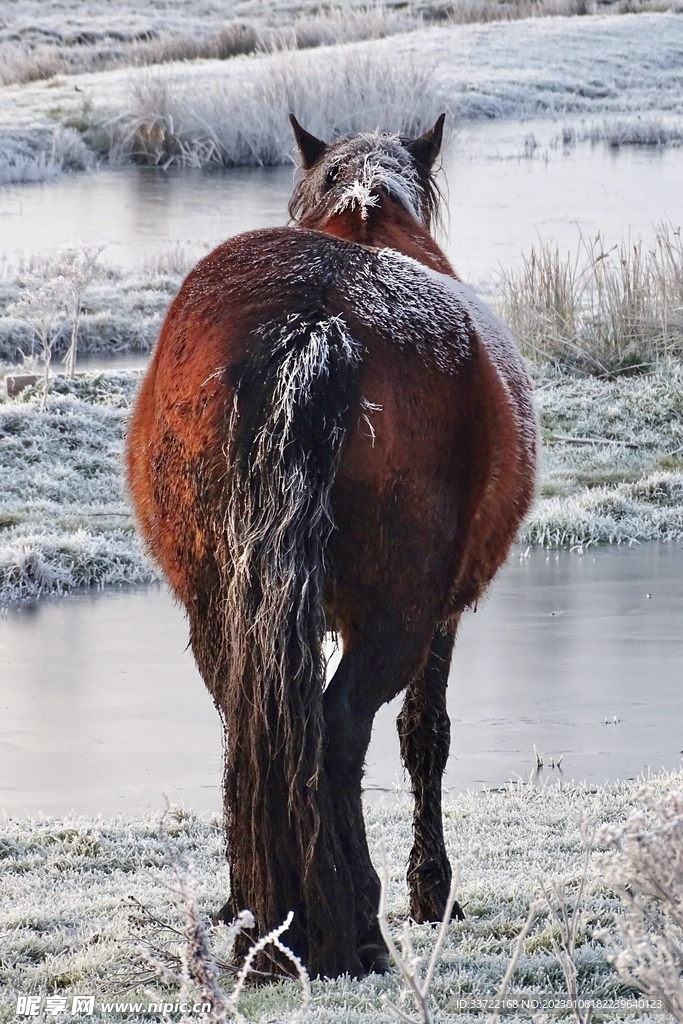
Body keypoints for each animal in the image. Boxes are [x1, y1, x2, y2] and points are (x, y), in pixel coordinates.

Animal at [126, 112, 538, 980]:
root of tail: (314, 319)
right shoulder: (442, 615)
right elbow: (425, 736)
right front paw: (432, 892)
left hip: (218, 603)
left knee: (250, 719)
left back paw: (269, 920)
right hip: (397, 612)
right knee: (342, 727)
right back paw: (357, 927)